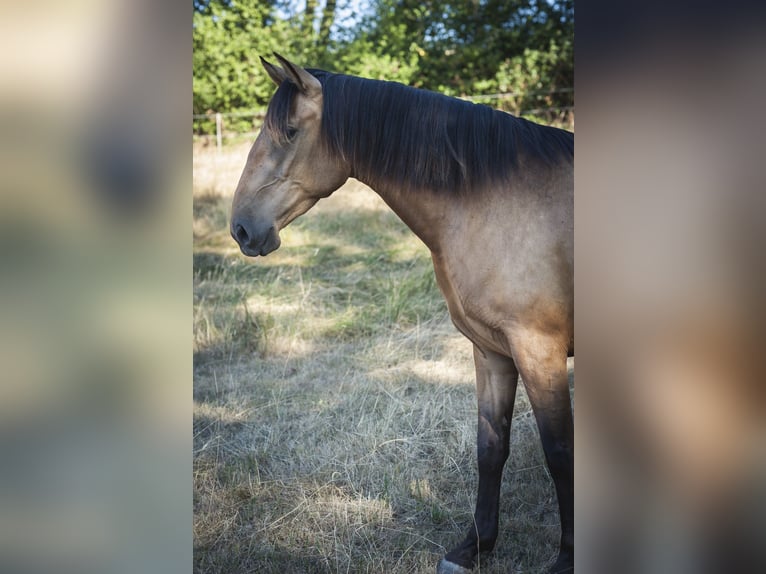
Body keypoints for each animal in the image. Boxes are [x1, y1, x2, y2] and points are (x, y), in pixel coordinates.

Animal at [230, 54, 574, 574]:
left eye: (289, 131)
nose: (241, 229)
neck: (496, 202)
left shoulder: (540, 350)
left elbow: (560, 452)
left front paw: (566, 558)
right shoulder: (491, 350)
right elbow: (491, 446)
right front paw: (473, 547)